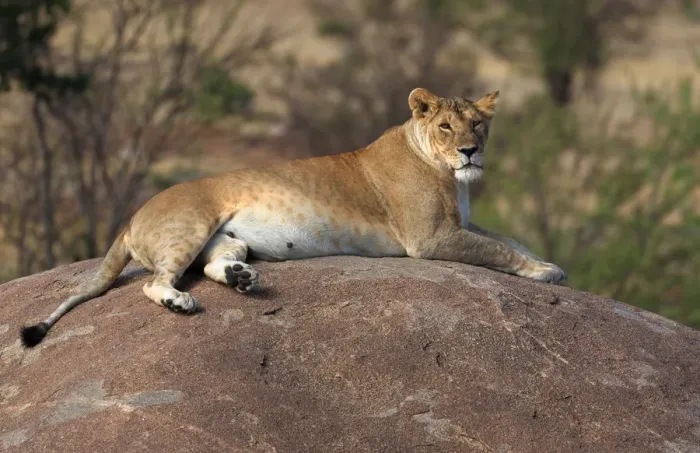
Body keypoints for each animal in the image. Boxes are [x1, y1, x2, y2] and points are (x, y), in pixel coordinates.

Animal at [20, 87, 566, 347]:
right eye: (447, 127)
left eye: (477, 124)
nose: (471, 152)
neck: (451, 175)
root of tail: (131, 217)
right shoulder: (430, 238)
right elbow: (498, 250)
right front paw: (545, 271)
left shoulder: (459, 225)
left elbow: (508, 237)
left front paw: (548, 263)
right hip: (187, 226)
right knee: (156, 282)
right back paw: (181, 302)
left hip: (225, 236)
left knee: (213, 264)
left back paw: (242, 278)